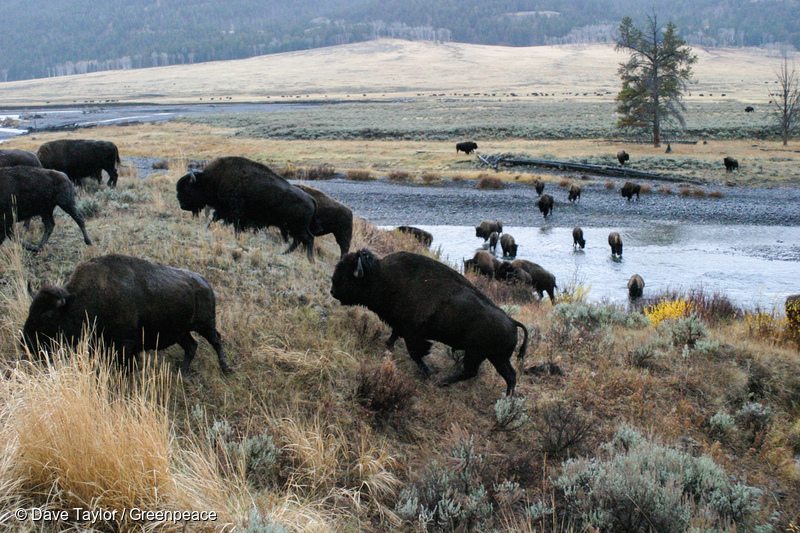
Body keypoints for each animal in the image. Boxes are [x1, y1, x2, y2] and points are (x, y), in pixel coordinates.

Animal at [21, 254, 231, 374]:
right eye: (30, 310)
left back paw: (226, 369)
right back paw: (182, 372)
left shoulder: (125, 345)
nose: (25, 343)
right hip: (181, 332)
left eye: (48, 315)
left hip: (205, 325)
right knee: (192, 346)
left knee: (216, 341)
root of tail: (205, 283)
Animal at [177, 154, 320, 262]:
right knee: (299, 240)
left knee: (308, 239)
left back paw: (309, 259)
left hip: (297, 227)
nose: (181, 204)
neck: (211, 181)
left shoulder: (236, 215)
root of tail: (310, 198)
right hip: (294, 227)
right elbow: (214, 221)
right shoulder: (224, 212)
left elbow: (236, 229)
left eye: (188, 189)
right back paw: (286, 253)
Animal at [328, 249, 528, 394]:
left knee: (471, 372)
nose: (333, 291)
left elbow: (416, 352)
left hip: (477, 354)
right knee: (509, 375)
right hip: (496, 357)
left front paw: (427, 372)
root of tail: (512, 321)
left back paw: (442, 382)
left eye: (347, 274)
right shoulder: (400, 325)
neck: (382, 277)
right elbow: (395, 335)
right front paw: (388, 346)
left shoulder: (413, 333)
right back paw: (507, 398)